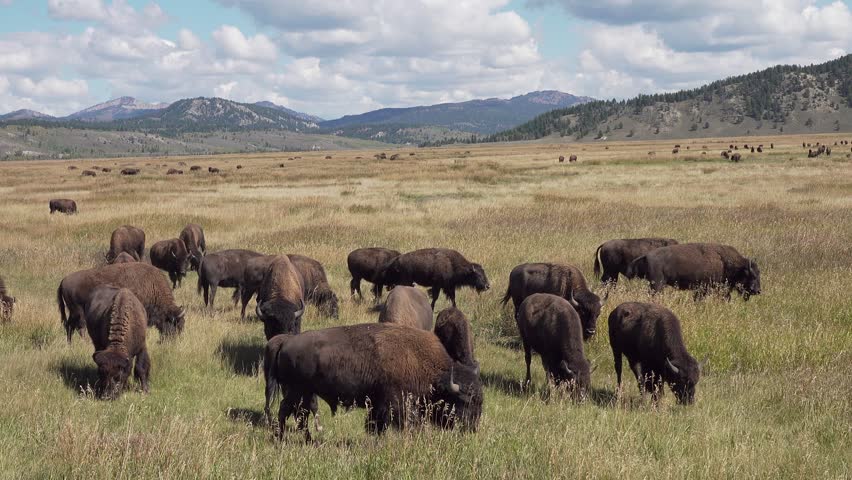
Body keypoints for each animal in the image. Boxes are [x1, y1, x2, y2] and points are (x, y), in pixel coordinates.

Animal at [263, 323, 482, 439]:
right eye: (466, 402)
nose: (472, 428)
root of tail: (286, 340)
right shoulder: (397, 403)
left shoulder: (378, 404)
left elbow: (376, 424)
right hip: (296, 390)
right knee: (286, 410)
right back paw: (281, 437)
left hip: (304, 392)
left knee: (301, 414)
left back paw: (308, 439)